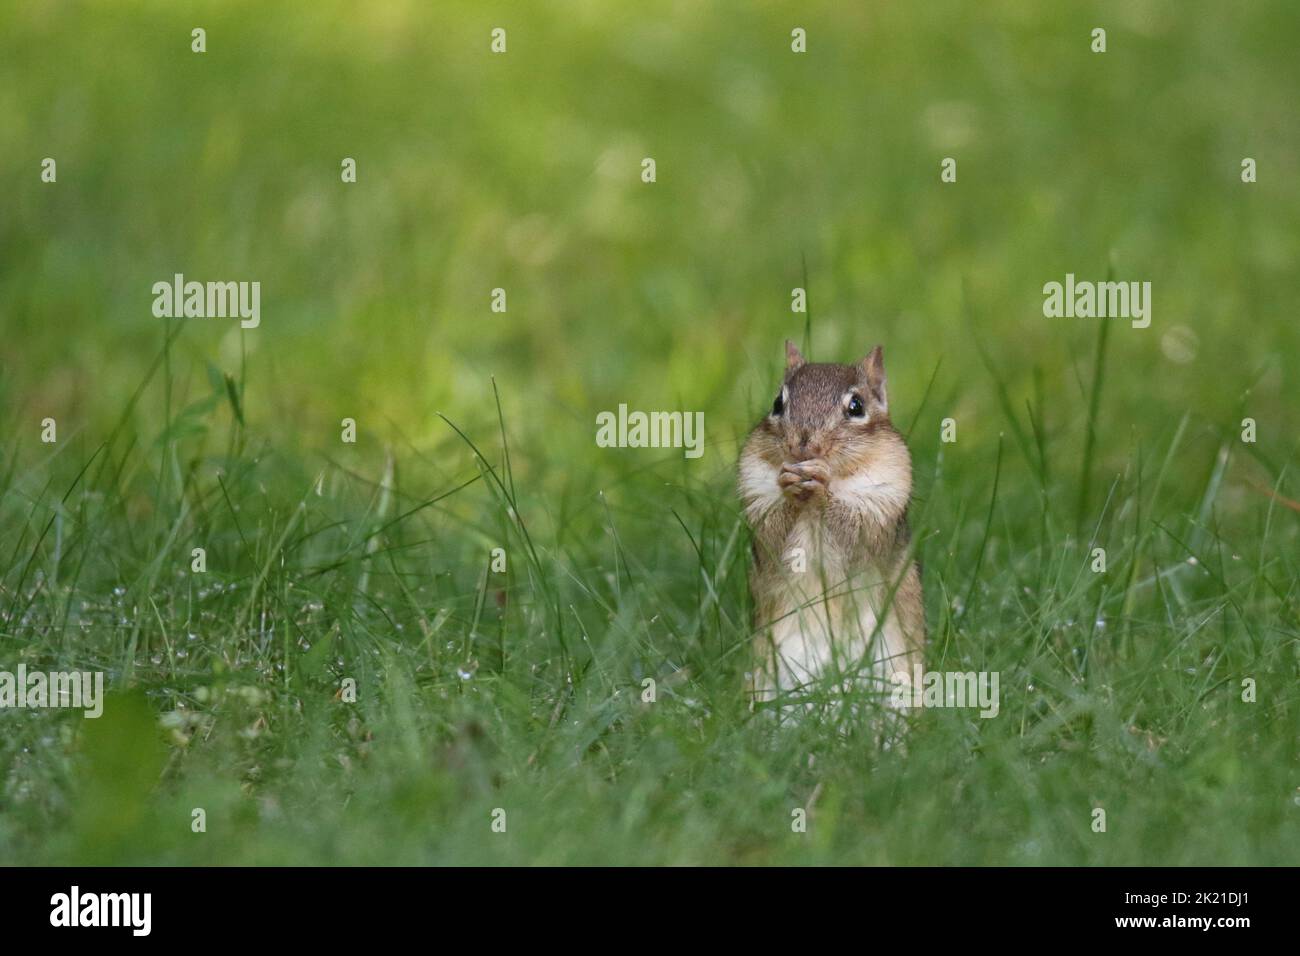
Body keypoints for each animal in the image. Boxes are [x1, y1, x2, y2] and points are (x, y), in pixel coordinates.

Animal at [738, 340, 924, 714]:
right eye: (777, 403)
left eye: (856, 406)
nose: (803, 446)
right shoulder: (757, 502)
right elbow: (773, 535)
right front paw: (790, 486)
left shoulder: (880, 508)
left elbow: (856, 537)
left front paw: (822, 487)